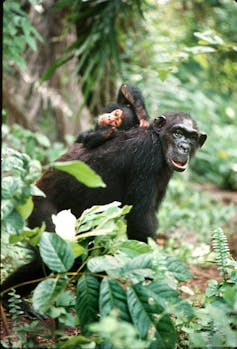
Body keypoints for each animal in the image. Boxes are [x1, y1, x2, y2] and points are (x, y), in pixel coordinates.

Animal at [0, 111, 206, 316]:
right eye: (177, 132)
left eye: (191, 137)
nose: (184, 146)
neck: (158, 141)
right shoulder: (147, 156)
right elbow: (140, 219)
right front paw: (154, 273)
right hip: (40, 210)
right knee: (48, 258)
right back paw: (9, 299)